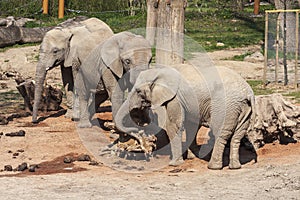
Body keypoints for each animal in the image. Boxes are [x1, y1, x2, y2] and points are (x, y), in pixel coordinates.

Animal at [113, 63, 254, 169]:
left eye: (138, 91)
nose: (141, 130)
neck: (160, 71)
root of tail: (247, 92)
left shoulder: (175, 98)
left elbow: (173, 125)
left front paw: (174, 164)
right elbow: (191, 125)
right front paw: (191, 157)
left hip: (226, 106)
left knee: (220, 133)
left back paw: (213, 167)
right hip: (244, 109)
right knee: (237, 135)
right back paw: (235, 167)